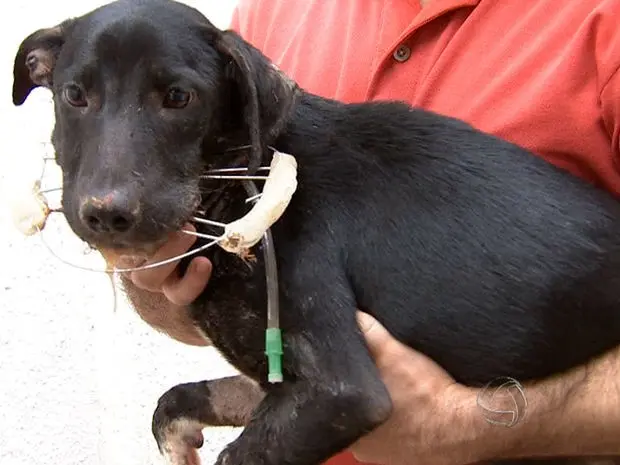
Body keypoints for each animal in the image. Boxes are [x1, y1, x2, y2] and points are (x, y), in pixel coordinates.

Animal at [10, 0, 620, 464]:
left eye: (179, 98)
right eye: (73, 94)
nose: (106, 214)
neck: (243, 184)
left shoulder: (341, 391)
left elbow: (239, 454)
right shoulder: (269, 380)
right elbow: (176, 400)